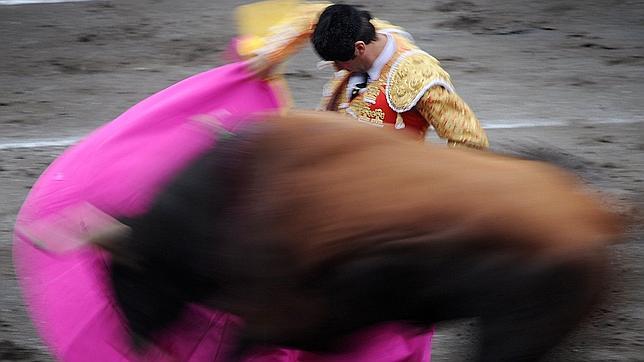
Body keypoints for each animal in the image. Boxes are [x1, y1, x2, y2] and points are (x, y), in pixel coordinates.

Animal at [94, 111, 624, 360]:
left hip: (517, 328)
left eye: (128, 279)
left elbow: (239, 346)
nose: (130, 346)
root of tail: (591, 213)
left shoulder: (282, 311)